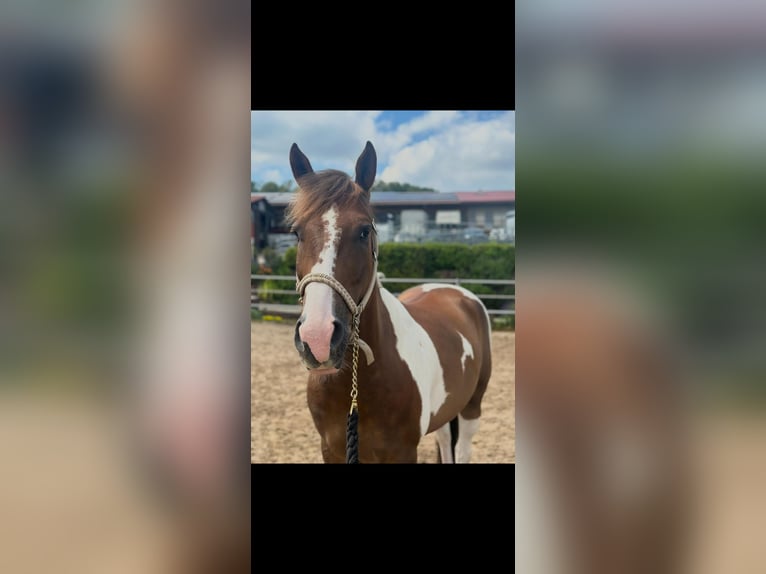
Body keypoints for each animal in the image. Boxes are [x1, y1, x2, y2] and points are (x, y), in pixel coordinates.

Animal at [286, 141, 493, 463]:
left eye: (364, 231)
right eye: (297, 233)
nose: (317, 339)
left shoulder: (402, 451)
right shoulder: (331, 449)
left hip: (472, 406)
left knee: (461, 448)